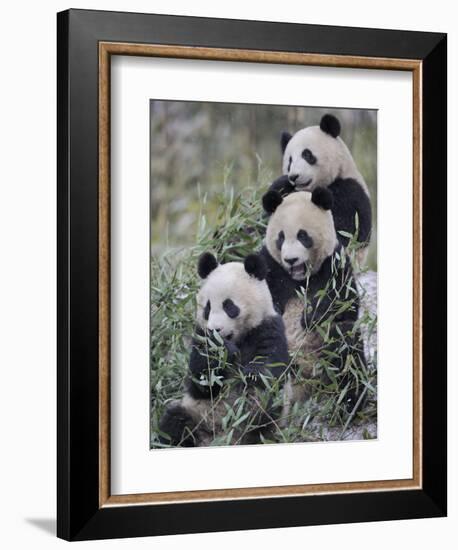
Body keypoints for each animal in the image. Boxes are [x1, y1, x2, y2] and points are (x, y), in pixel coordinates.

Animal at [159, 253, 288, 448]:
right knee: (173, 423)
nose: (215, 329)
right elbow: (201, 382)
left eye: (229, 306)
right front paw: (221, 353)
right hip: (195, 413)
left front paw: (248, 375)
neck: (237, 338)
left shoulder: (268, 328)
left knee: (263, 411)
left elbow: (269, 369)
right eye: (207, 308)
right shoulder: (201, 337)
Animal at [260, 190, 366, 418]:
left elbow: (345, 304)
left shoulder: (335, 264)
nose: (291, 260)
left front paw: (309, 316)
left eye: (302, 235)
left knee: (346, 348)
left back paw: (349, 405)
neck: (301, 279)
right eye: (281, 237)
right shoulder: (270, 265)